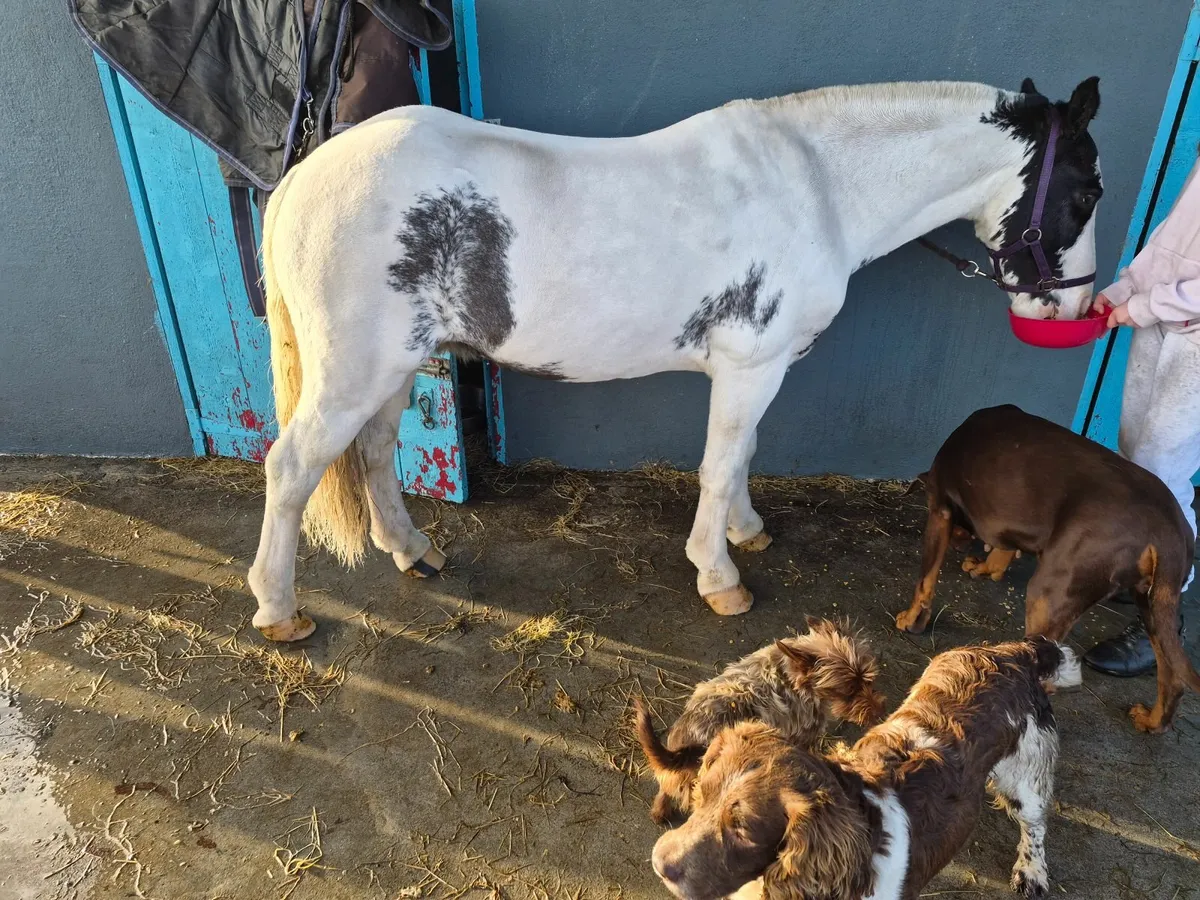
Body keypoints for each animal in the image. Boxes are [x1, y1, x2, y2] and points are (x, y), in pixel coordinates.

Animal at [247, 76, 1102, 641]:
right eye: (1087, 191)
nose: (1070, 309)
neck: (816, 188)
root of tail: (303, 176)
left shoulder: (759, 370)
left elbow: (744, 455)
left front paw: (746, 531)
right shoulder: (751, 367)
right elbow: (719, 467)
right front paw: (720, 577)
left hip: (392, 368)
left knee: (374, 452)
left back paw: (411, 552)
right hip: (354, 372)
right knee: (292, 469)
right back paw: (279, 609)